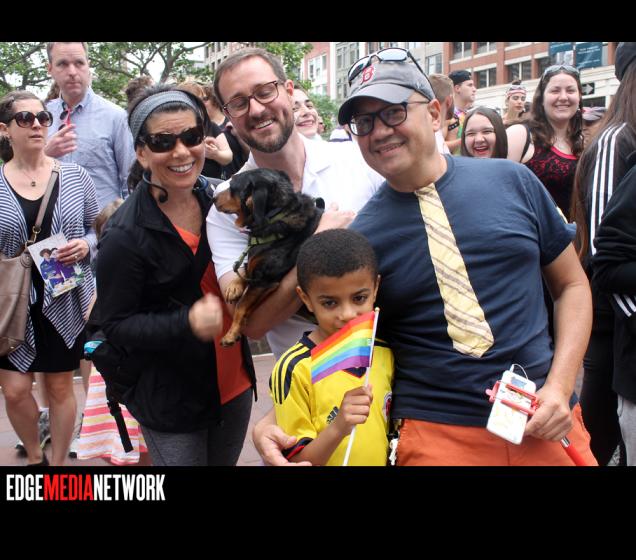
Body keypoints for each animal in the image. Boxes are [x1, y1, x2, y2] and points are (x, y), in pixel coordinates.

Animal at [213, 168, 323, 346]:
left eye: (232, 186)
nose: (213, 198)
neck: (276, 216)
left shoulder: (264, 280)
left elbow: (241, 306)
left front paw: (230, 334)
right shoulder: (257, 278)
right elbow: (245, 271)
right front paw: (234, 286)